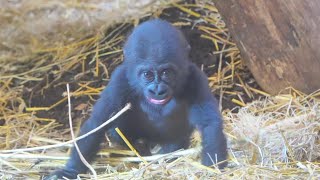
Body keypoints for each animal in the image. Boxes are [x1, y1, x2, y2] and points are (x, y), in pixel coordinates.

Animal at [47, 19, 228, 179]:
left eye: (166, 73)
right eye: (147, 75)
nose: (158, 90)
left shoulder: (195, 78)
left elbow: (209, 123)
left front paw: (213, 169)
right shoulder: (119, 80)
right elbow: (98, 124)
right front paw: (70, 170)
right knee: (117, 131)